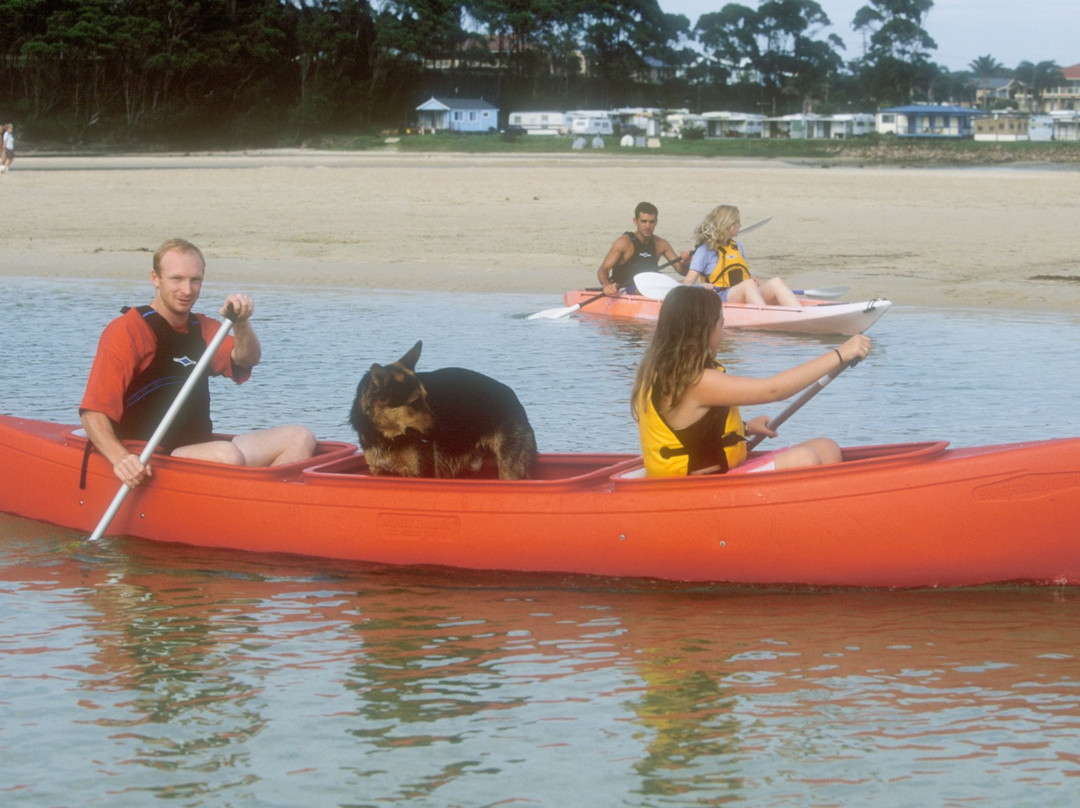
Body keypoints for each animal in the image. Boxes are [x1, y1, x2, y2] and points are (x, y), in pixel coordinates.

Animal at [349, 341, 540, 479]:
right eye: (415, 403)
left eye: (426, 399)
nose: (445, 429)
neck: (385, 434)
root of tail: (514, 398)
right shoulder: (380, 472)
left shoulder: (420, 474)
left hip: (510, 472)